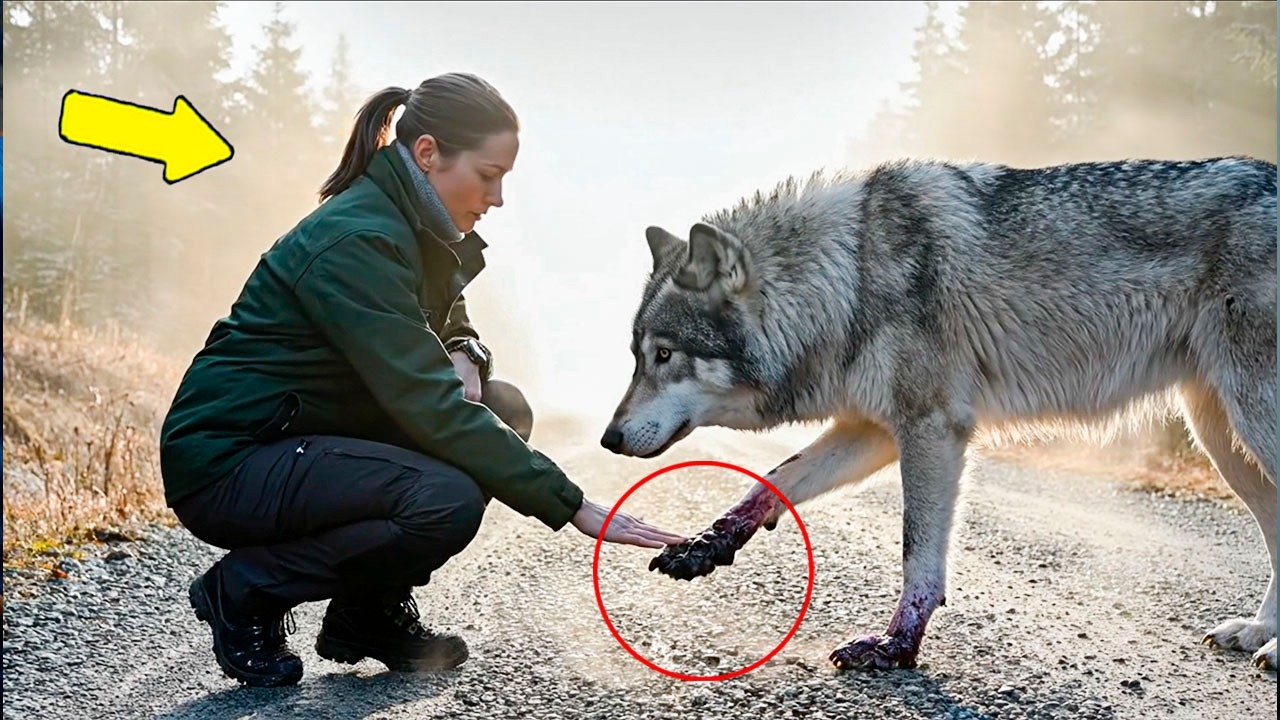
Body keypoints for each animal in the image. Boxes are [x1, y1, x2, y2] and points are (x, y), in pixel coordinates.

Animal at [599, 155, 1278, 672]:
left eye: (664, 355)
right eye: (636, 356)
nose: (607, 439)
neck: (847, 276)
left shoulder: (931, 428)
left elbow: (916, 552)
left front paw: (896, 646)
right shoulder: (873, 430)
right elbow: (773, 480)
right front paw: (704, 545)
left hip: (1248, 423)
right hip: (1221, 438)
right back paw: (1257, 634)